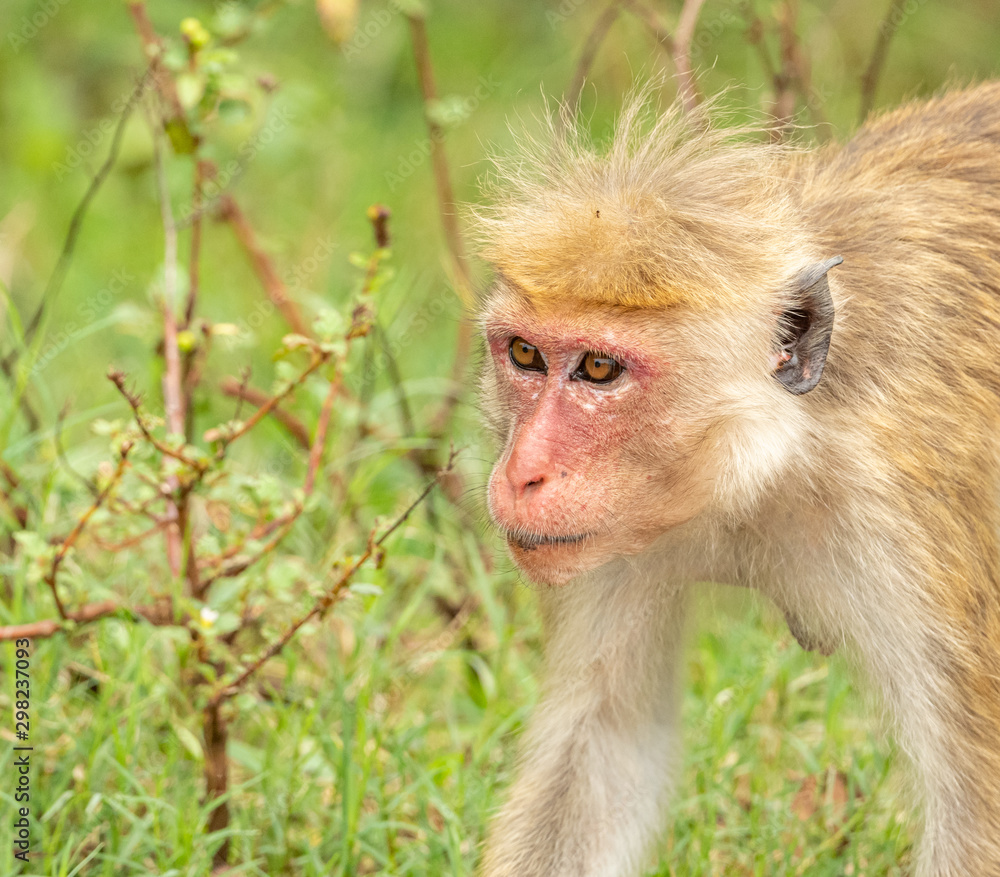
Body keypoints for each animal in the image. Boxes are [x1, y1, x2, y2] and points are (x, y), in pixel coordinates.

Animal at [473, 81, 1000, 877]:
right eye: (526, 354)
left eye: (598, 368)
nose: (522, 471)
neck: (779, 458)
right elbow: (602, 748)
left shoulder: (914, 519)